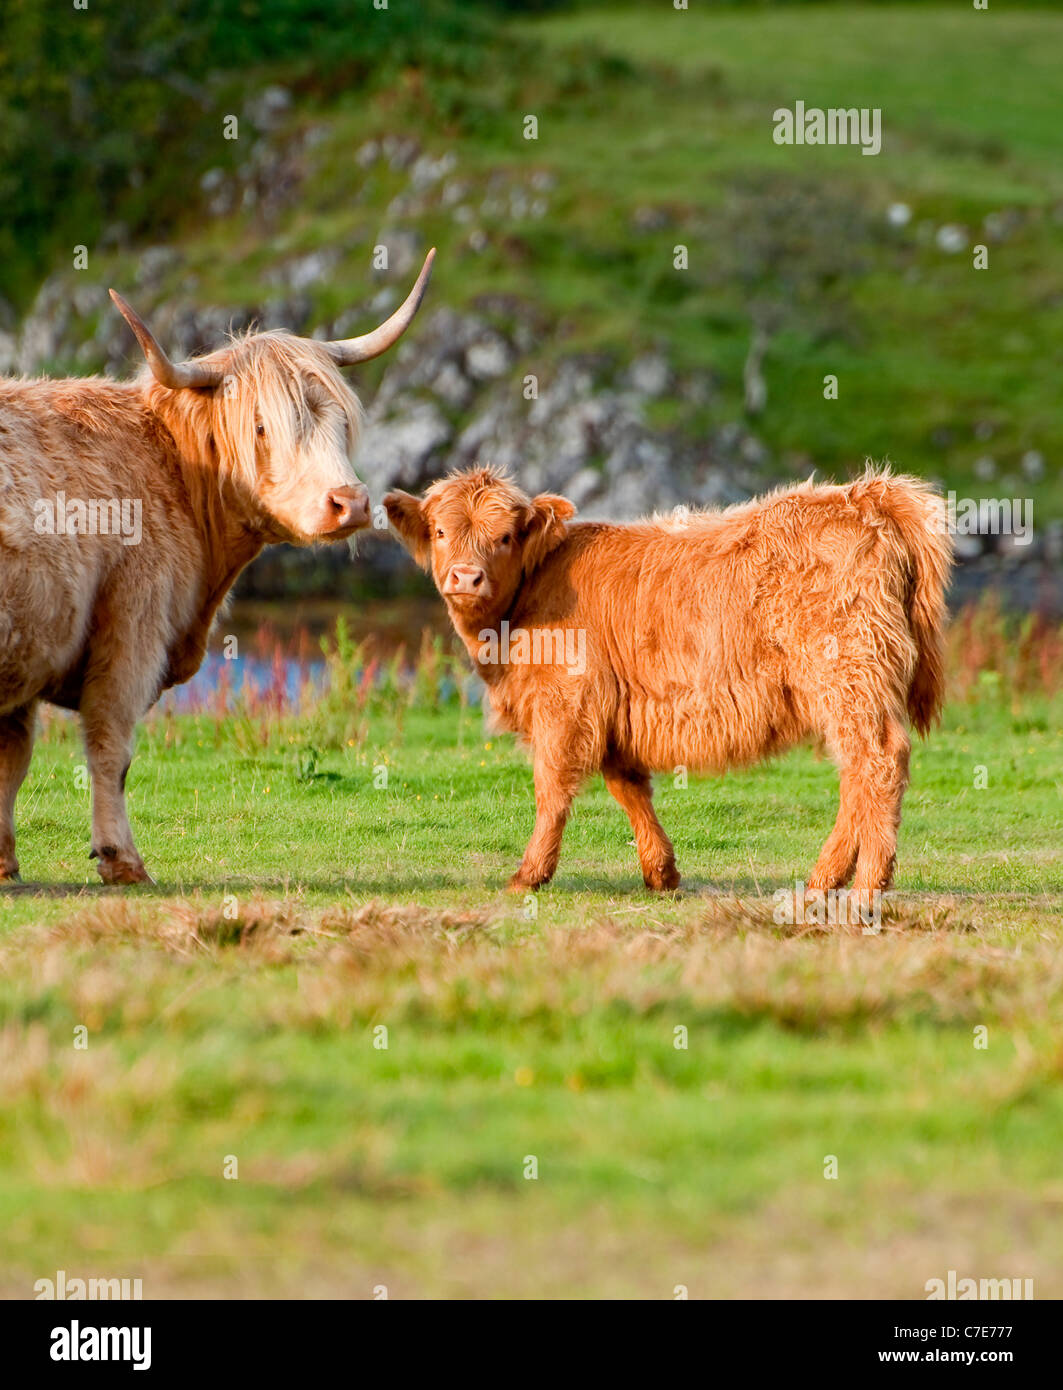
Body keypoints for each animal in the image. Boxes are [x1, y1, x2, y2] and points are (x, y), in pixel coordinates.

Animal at [0, 249, 434, 884]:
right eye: (260, 426)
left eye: (340, 422)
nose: (350, 502)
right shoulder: (132, 631)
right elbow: (110, 747)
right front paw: (123, 862)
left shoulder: (32, 652)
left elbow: (13, 758)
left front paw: (4, 862)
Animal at [384, 464, 952, 898]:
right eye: (440, 531)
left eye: (504, 537)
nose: (465, 577)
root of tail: (862, 495)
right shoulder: (616, 707)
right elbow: (628, 787)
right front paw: (661, 872)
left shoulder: (565, 702)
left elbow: (552, 788)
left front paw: (529, 874)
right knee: (857, 771)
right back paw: (826, 879)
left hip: (850, 674)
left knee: (877, 762)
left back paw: (867, 884)